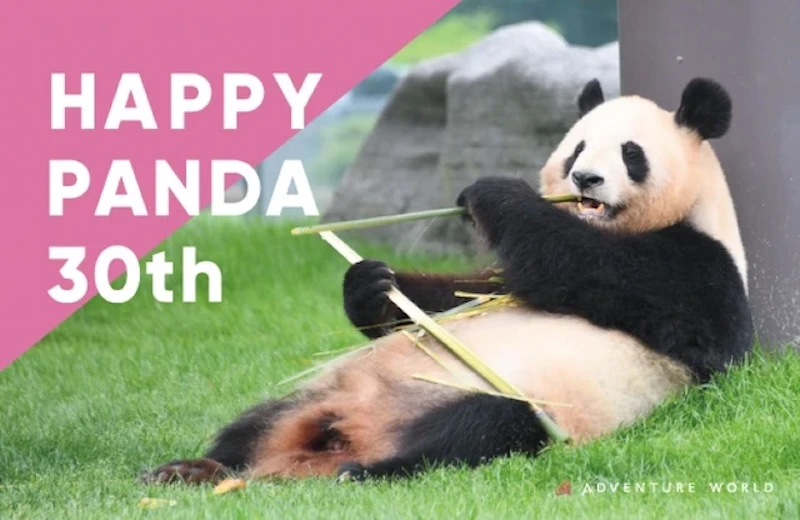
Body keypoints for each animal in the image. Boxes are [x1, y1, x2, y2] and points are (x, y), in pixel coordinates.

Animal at [142, 77, 753, 484]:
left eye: (631, 154)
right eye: (577, 148)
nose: (586, 178)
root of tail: (346, 434)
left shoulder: (698, 270)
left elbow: (592, 267)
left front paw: (495, 193)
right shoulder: (489, 284)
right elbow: (460, 296)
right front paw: (370, 284)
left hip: (520, 403)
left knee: (479, 429)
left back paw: (368, 471)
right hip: (320, 394)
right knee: (255, 425)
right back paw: (190, 469)